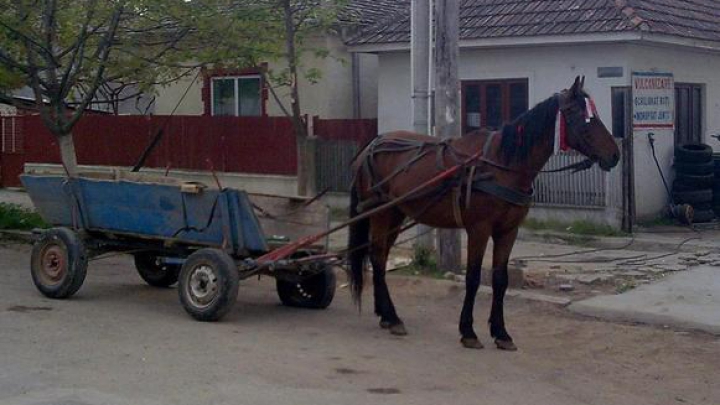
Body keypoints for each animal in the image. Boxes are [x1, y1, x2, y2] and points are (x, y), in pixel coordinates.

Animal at [348, 76, 620, 350]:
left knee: (379, 256)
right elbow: (473, 277)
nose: (615, 155)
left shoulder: (508, 231)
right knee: (378, 257)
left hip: (395, 214)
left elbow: (500, 279)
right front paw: (468, 331)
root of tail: (373, 144)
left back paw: (384, 314)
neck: (501, 165)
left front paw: (501, 332)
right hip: (380, 213)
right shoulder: (479, 229)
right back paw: (392, 317)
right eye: (581, 116)